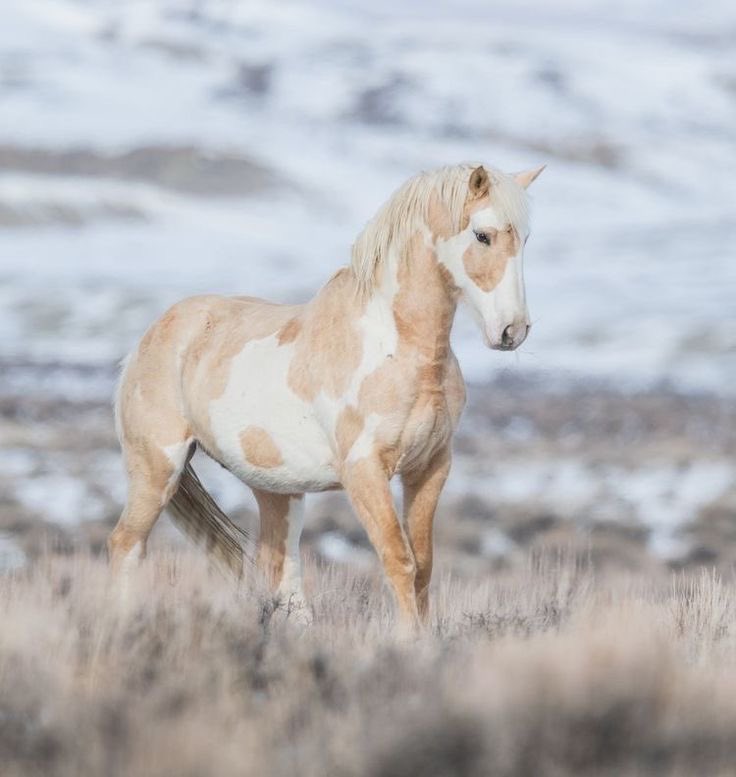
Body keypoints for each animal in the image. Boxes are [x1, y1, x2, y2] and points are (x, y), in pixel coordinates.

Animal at [108, 162, 544, 628]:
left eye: (525, 238)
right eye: (482, 235)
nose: (512, 331)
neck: (396, 348)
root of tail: (144, 343)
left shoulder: (430, 467)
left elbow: (423, 565)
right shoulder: (364, 471)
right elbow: (399, 559)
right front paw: (410, 641)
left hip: (277, 490)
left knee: (280, 573)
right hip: (157, 469)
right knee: (126, 546)